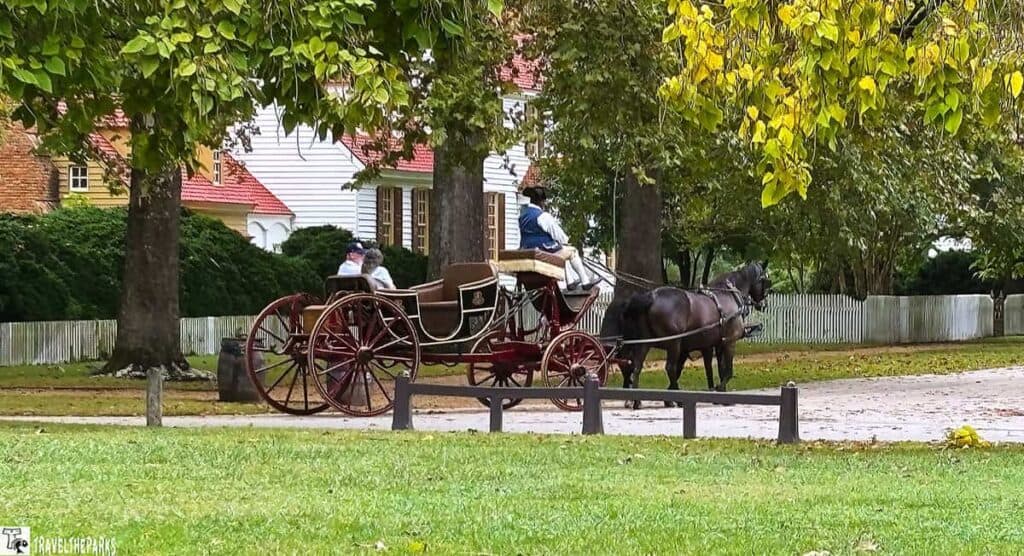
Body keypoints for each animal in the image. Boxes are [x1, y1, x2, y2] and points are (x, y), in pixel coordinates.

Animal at [615, 261, 770, 409]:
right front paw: (720, 390)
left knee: (637, 367)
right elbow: (728, 371)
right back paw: (676, 399)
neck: (729, 295)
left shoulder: (716, 344)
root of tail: (652, 296)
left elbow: (717, 369)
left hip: (645, 342)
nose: (763, 304)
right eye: (765, 281)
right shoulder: (730, 342)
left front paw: (719, 395)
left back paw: (637, 401)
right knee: (670, 368)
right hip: (674, 343)